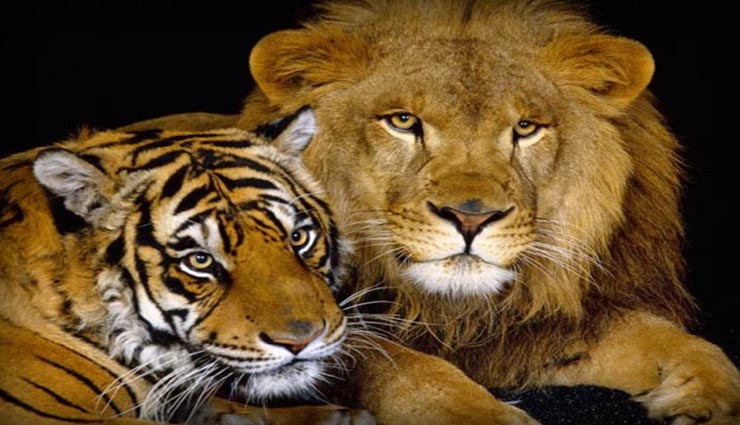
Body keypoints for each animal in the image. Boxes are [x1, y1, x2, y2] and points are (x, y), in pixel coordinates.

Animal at [227, 1, 740, 424]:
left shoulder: (538, 331)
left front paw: (713, 401)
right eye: (403, 121)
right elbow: (396, 365)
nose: (470, 218)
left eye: (526, 128)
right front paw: (478, 413)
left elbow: (677, 342)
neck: (455, 311)